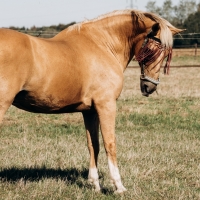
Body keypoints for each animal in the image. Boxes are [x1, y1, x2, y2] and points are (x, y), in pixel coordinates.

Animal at [0, 10, 183, 193]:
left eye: (166, 54)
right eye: (151, 50)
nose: (149, 87)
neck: (102, 44)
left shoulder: (89, 111)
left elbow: (93, 144)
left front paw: (95, 184)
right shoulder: (106, 105)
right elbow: (110, 143)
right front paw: (118, 186)